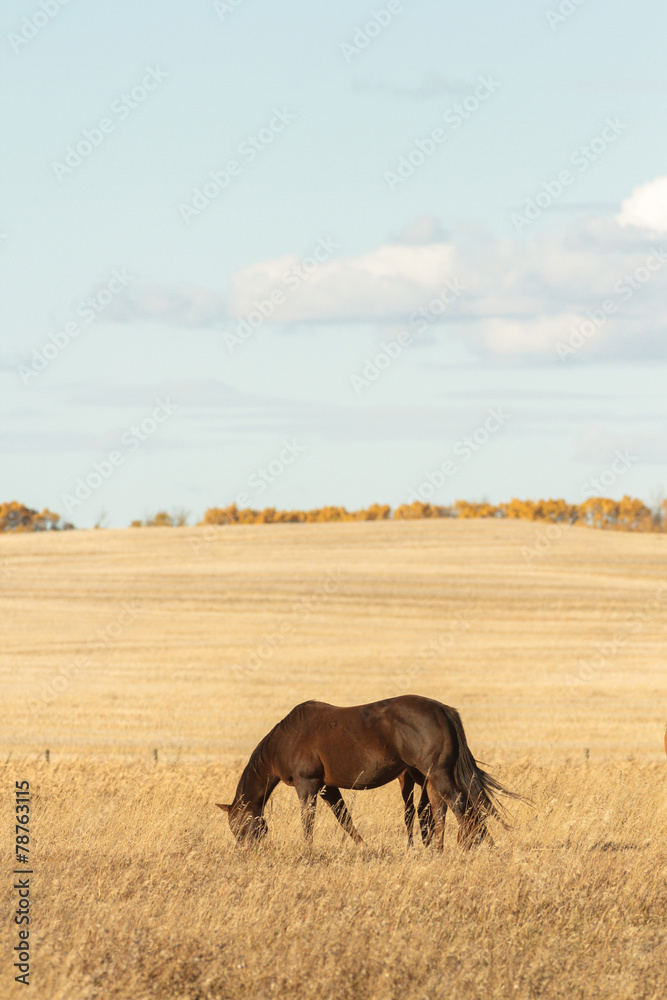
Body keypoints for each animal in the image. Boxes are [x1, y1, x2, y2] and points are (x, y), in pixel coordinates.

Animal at [217, 695, 518, 850]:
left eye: (238, 826)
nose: (245, 853)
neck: (285, 740)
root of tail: (443, 709)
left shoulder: (308, 785)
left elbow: (308, 821)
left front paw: (308, 851)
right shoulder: (328, 787)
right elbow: (344, 818)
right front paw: (363, 847)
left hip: (438, 775)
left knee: (457, 803)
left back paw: (465, 845)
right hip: (432, 776)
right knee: (439, 808)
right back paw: (437, 849)